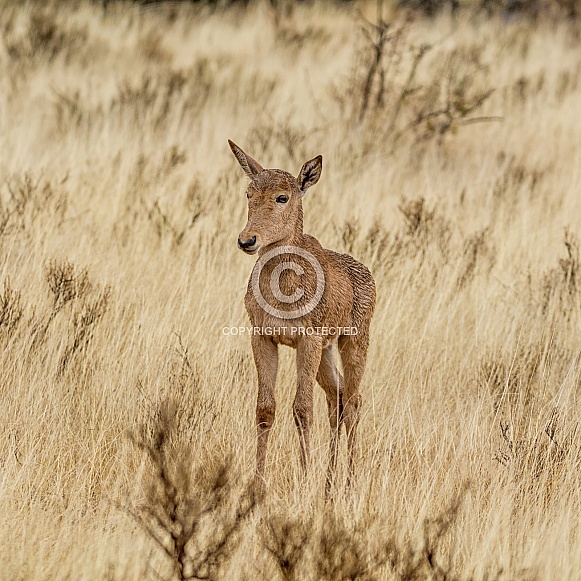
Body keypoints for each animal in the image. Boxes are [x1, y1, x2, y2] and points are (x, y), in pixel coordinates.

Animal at [229, 140, 374, 494]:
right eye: (249, 193)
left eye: (283, 196)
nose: (247, 240)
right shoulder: (263, 338)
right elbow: (265, 408)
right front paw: (258, 484)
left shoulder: (306, 341)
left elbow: (302, 409)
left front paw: (305, 479)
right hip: (325, 352)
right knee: (336, 398)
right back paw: (329, 482)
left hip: (353, 343)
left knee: (353, 401)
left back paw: (347, 482)